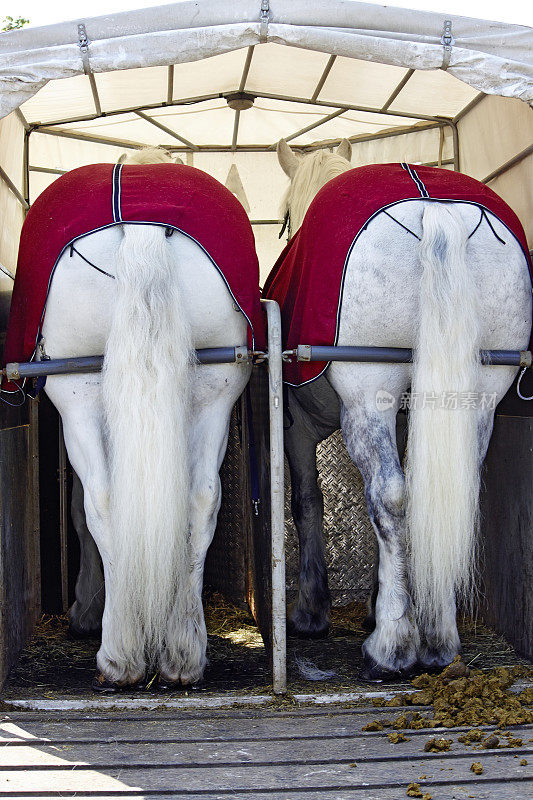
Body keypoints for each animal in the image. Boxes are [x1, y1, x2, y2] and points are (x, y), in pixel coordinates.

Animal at [39, 150, 251, 688]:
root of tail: (143, 231)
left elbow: (82, 511)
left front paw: (85, 611)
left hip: (74, 392)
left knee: (102, 501)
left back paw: (119, 656)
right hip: (217, 390)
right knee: (201, 497)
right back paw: (183, 654)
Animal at [272, 141, 528, 680]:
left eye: (283, 217)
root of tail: (435, 209)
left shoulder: (296, 428)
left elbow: (308, 503)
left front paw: (312, 611)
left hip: (369, 398)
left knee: (390, 496)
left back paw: (391, 647)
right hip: (478, 399)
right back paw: (437, 639)